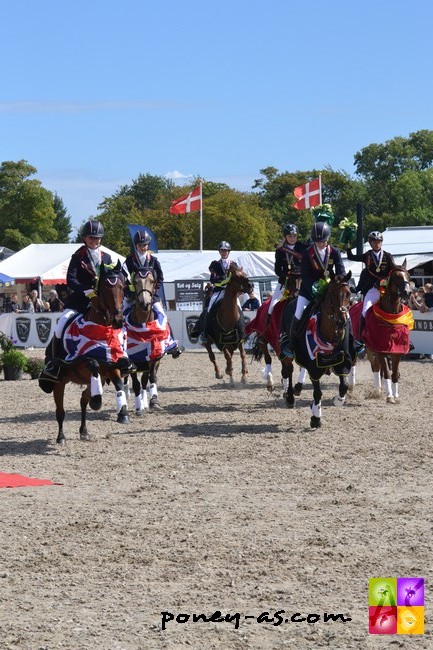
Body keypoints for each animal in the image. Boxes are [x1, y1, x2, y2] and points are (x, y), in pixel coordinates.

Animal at [40, 260, 132, 442]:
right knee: (60, 411)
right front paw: (97, 402)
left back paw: (84, 430)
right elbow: (93, 363)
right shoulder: (82, 362)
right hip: (59, 383)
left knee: (83, 400)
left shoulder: (112, 365)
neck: (102, 330)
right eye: (104, 288)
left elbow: (119, 382)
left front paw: (123, 413)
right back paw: (61, 437)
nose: (118, 320)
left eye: (123, 286)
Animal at [121, 268, 174, 410]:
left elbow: (151, 378)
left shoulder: (154, 358)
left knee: (145, 380)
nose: (145, 303)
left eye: (152, 280)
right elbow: (136, 383)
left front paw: (153, 401)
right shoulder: (133, 359)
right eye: (136, 281)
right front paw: (139, 407)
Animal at [278, 270, 352, 428]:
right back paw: (290, 397)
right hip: (288, 351)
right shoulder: (313, 365)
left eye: (349, 293)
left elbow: (343, 386)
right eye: (332, 293)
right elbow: (317, 393)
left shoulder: (342, 360)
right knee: (288, 370)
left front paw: (337, 400)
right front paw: (316, 418)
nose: (341, 321)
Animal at [348, 260, 412, 402]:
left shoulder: (396, 350)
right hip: (360, 346)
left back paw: (377, 390)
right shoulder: (382, 350)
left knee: (376, 367)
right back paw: (351, 386)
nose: (407, 292)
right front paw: (389, 396)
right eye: (396, 277)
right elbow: (387, 372)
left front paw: (395, 395)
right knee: (358, 362)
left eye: (408, 276)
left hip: (371, 348)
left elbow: (394, 373)